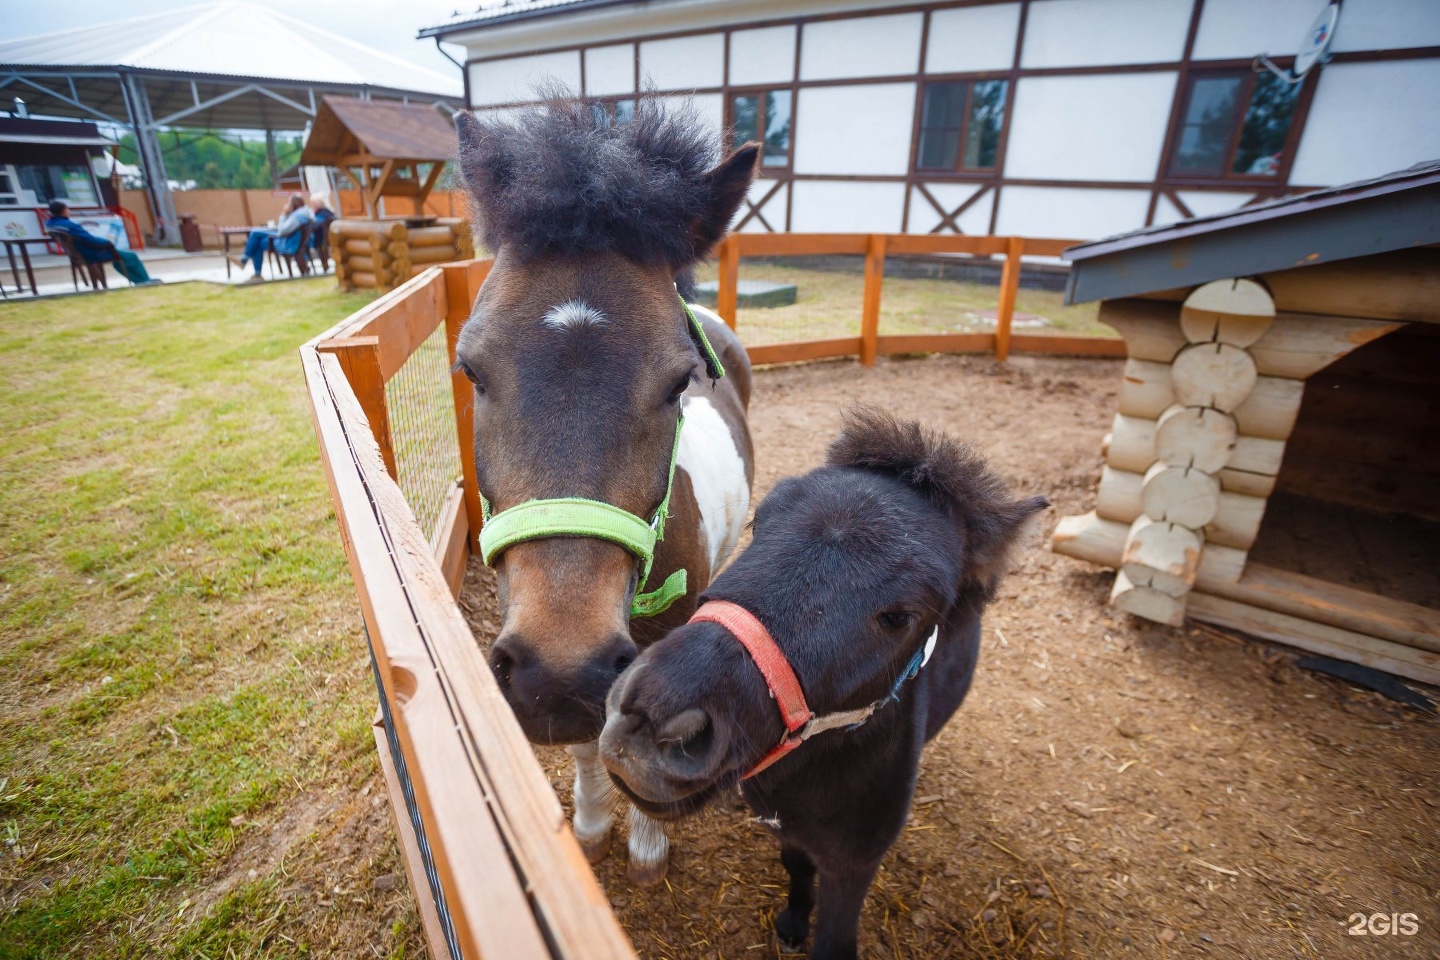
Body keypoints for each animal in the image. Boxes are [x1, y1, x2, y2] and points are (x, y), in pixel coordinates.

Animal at [455, 93, 760, 880]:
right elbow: (592, 741)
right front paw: (592, 824)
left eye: (680, 382)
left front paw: (647, 846)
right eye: (471, 369)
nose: (559, 674)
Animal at [596, 408, 1048, 955]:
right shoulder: (790, 832)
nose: (649, 718)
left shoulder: (853, 865)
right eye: (759, 523)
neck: (813, 777)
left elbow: (834, 938)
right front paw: (793, 921)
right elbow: (796, 868)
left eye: (900, 616)